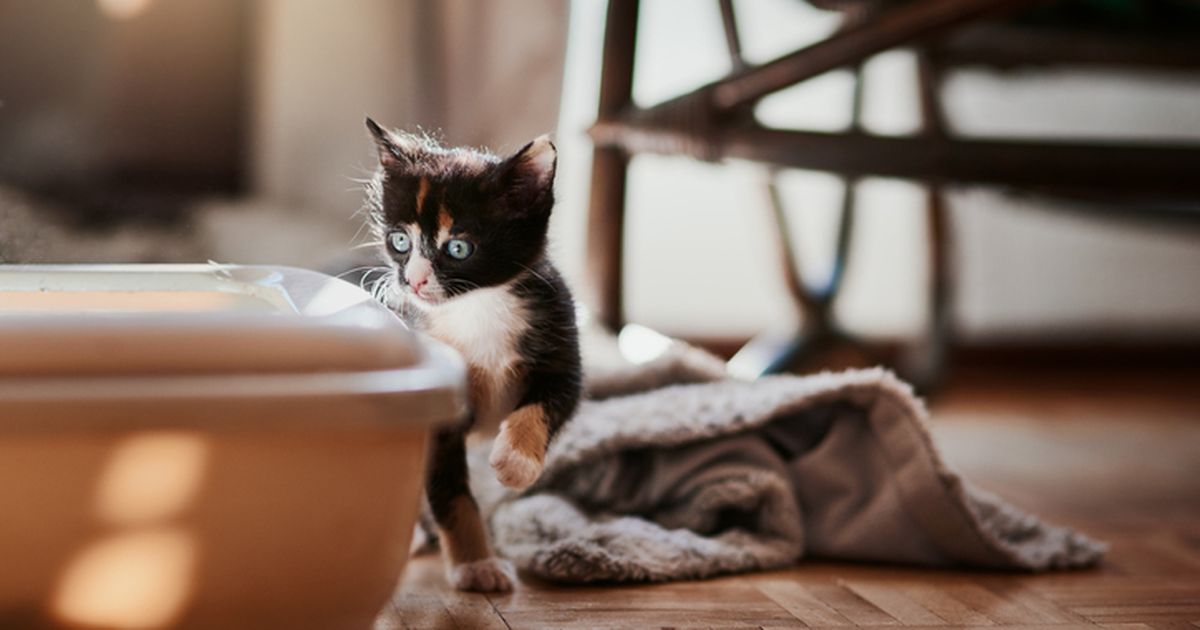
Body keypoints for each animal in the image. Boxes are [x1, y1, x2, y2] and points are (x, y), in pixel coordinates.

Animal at [362, 116, 583, 590]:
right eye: (399, 241)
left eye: (458, 248)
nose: (414, 281)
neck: (478, 307)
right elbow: (449, 491)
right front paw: (476, 564)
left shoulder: (562, 345)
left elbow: (547, 403)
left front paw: (517, 461)